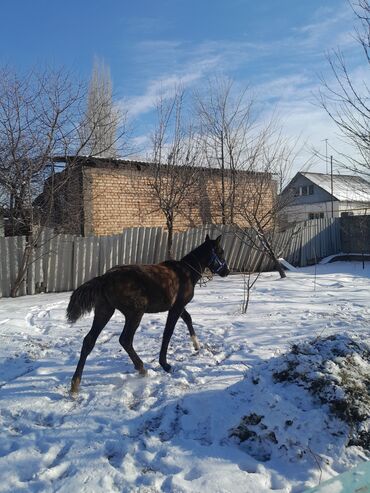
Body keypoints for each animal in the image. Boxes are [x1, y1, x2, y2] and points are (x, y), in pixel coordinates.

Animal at [66, 234, 228, 392]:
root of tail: (105, 278)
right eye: (221, 252)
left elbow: (188, 318)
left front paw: (196, 345)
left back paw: (75, 385)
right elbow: (168, 333)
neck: (186, 273)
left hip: (104, 311)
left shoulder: (178, 307)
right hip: (135, 313)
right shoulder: (176, 308)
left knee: (89, 341)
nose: (226, 271)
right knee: (125, 340)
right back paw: (142, 368)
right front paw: (165, 364)